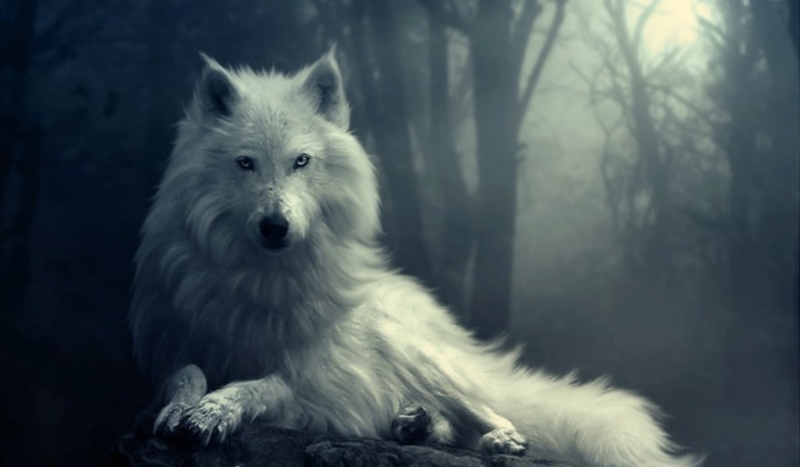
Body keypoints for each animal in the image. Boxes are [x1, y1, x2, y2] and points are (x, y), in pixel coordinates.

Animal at [130, 49, 702, 467]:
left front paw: (214, 411)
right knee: (444, 422)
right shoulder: (174, 345)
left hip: (419, 356)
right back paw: (415, 424)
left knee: (496, 415)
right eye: (245, 163)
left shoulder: (315, 384)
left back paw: (493, 440)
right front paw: (181, 409)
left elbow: (260, 385)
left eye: (301, 162)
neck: (263, 280)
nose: (275, 227)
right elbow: (185, 374)